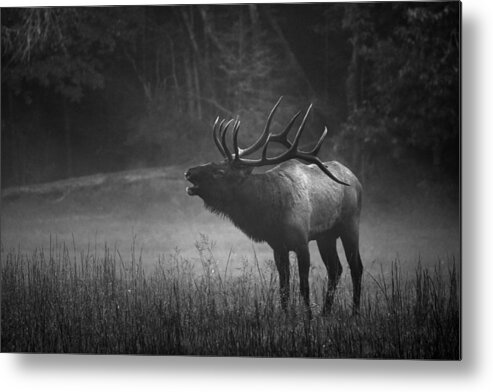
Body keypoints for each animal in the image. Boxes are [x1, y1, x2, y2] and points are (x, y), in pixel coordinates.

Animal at [184, 99, 362, 318]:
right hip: (325, 236)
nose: (189, 171)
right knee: (335, 269)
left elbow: (303, 287)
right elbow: (283, 288)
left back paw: (354, 312)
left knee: (356, 267)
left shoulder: (301, 241)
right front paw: (287, 315)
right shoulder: (278, 245)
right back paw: (326, 312)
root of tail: (356, 180)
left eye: (220, 171)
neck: (270, 215)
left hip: (350, 225)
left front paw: (308, 317)